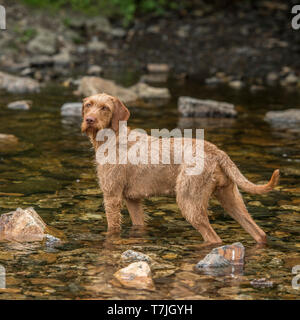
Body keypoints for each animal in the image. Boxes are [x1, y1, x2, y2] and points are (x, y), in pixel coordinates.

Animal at [81, 94, 280, 244]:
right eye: (88, 105)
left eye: (105, 108)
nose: (89, 120)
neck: (112, 137)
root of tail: (216, 151)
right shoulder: (133, 199)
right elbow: (138, 224)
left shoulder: (112, 196)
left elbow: (113, 228)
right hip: (231, 199)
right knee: (259, 233)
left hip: (189, 202)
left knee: (213, 238)